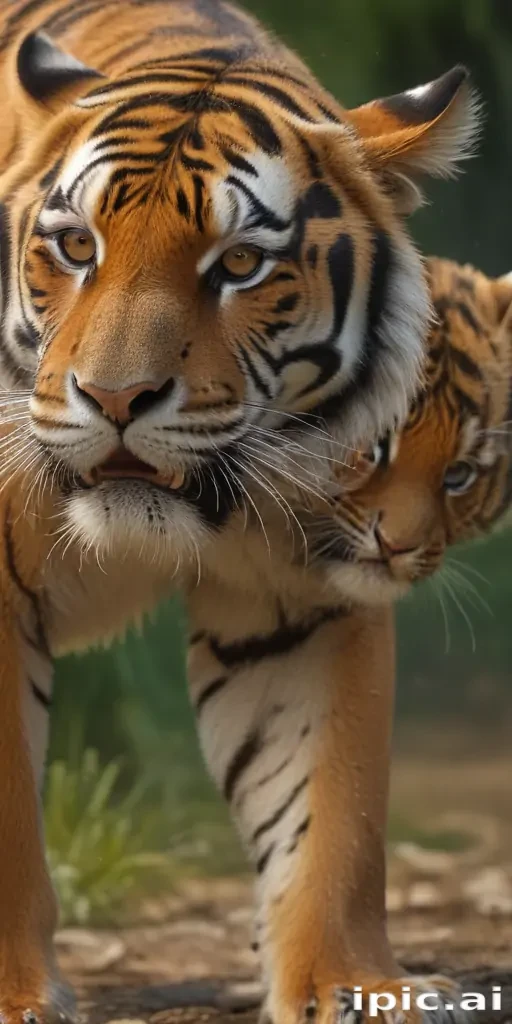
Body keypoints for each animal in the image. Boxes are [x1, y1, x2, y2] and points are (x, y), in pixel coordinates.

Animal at [0, 0, 480, 1021]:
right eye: (77, 246)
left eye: (243, 264)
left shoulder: (307, 596)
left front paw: (349, 983)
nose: (116, 397)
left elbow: (331, 808)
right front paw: (19, 993)